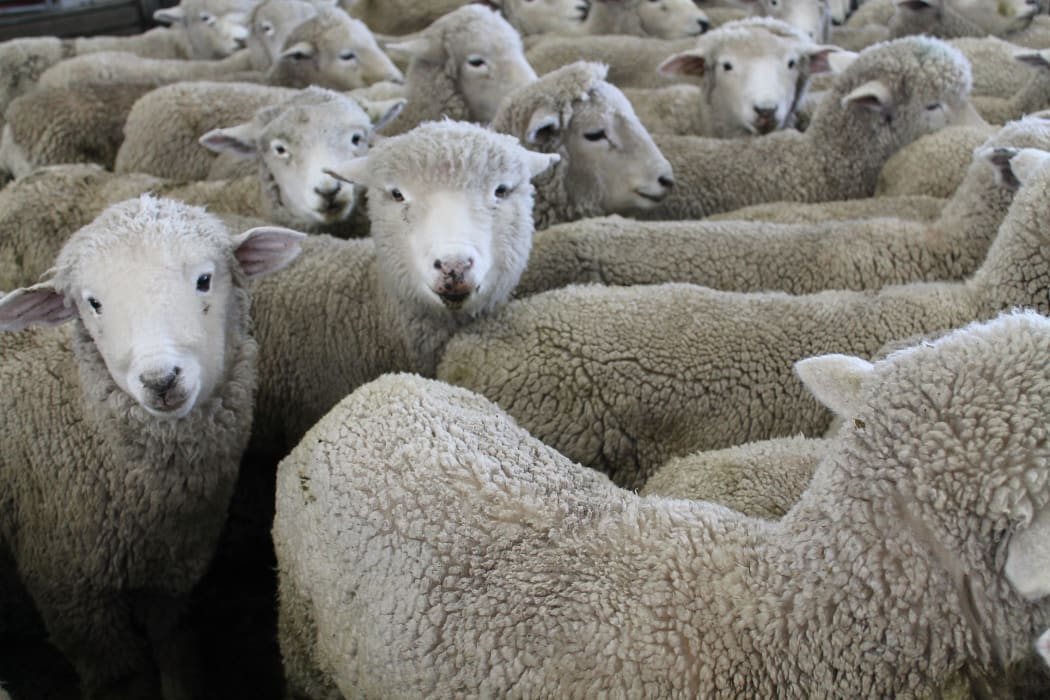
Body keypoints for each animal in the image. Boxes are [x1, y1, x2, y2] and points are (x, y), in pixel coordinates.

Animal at [0, 195, 303, 700]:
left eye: (205, 279)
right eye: (93, 303)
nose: (161, 380)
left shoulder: (169, 576)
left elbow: (176, 647)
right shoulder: (76, 599)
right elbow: (123, 679)